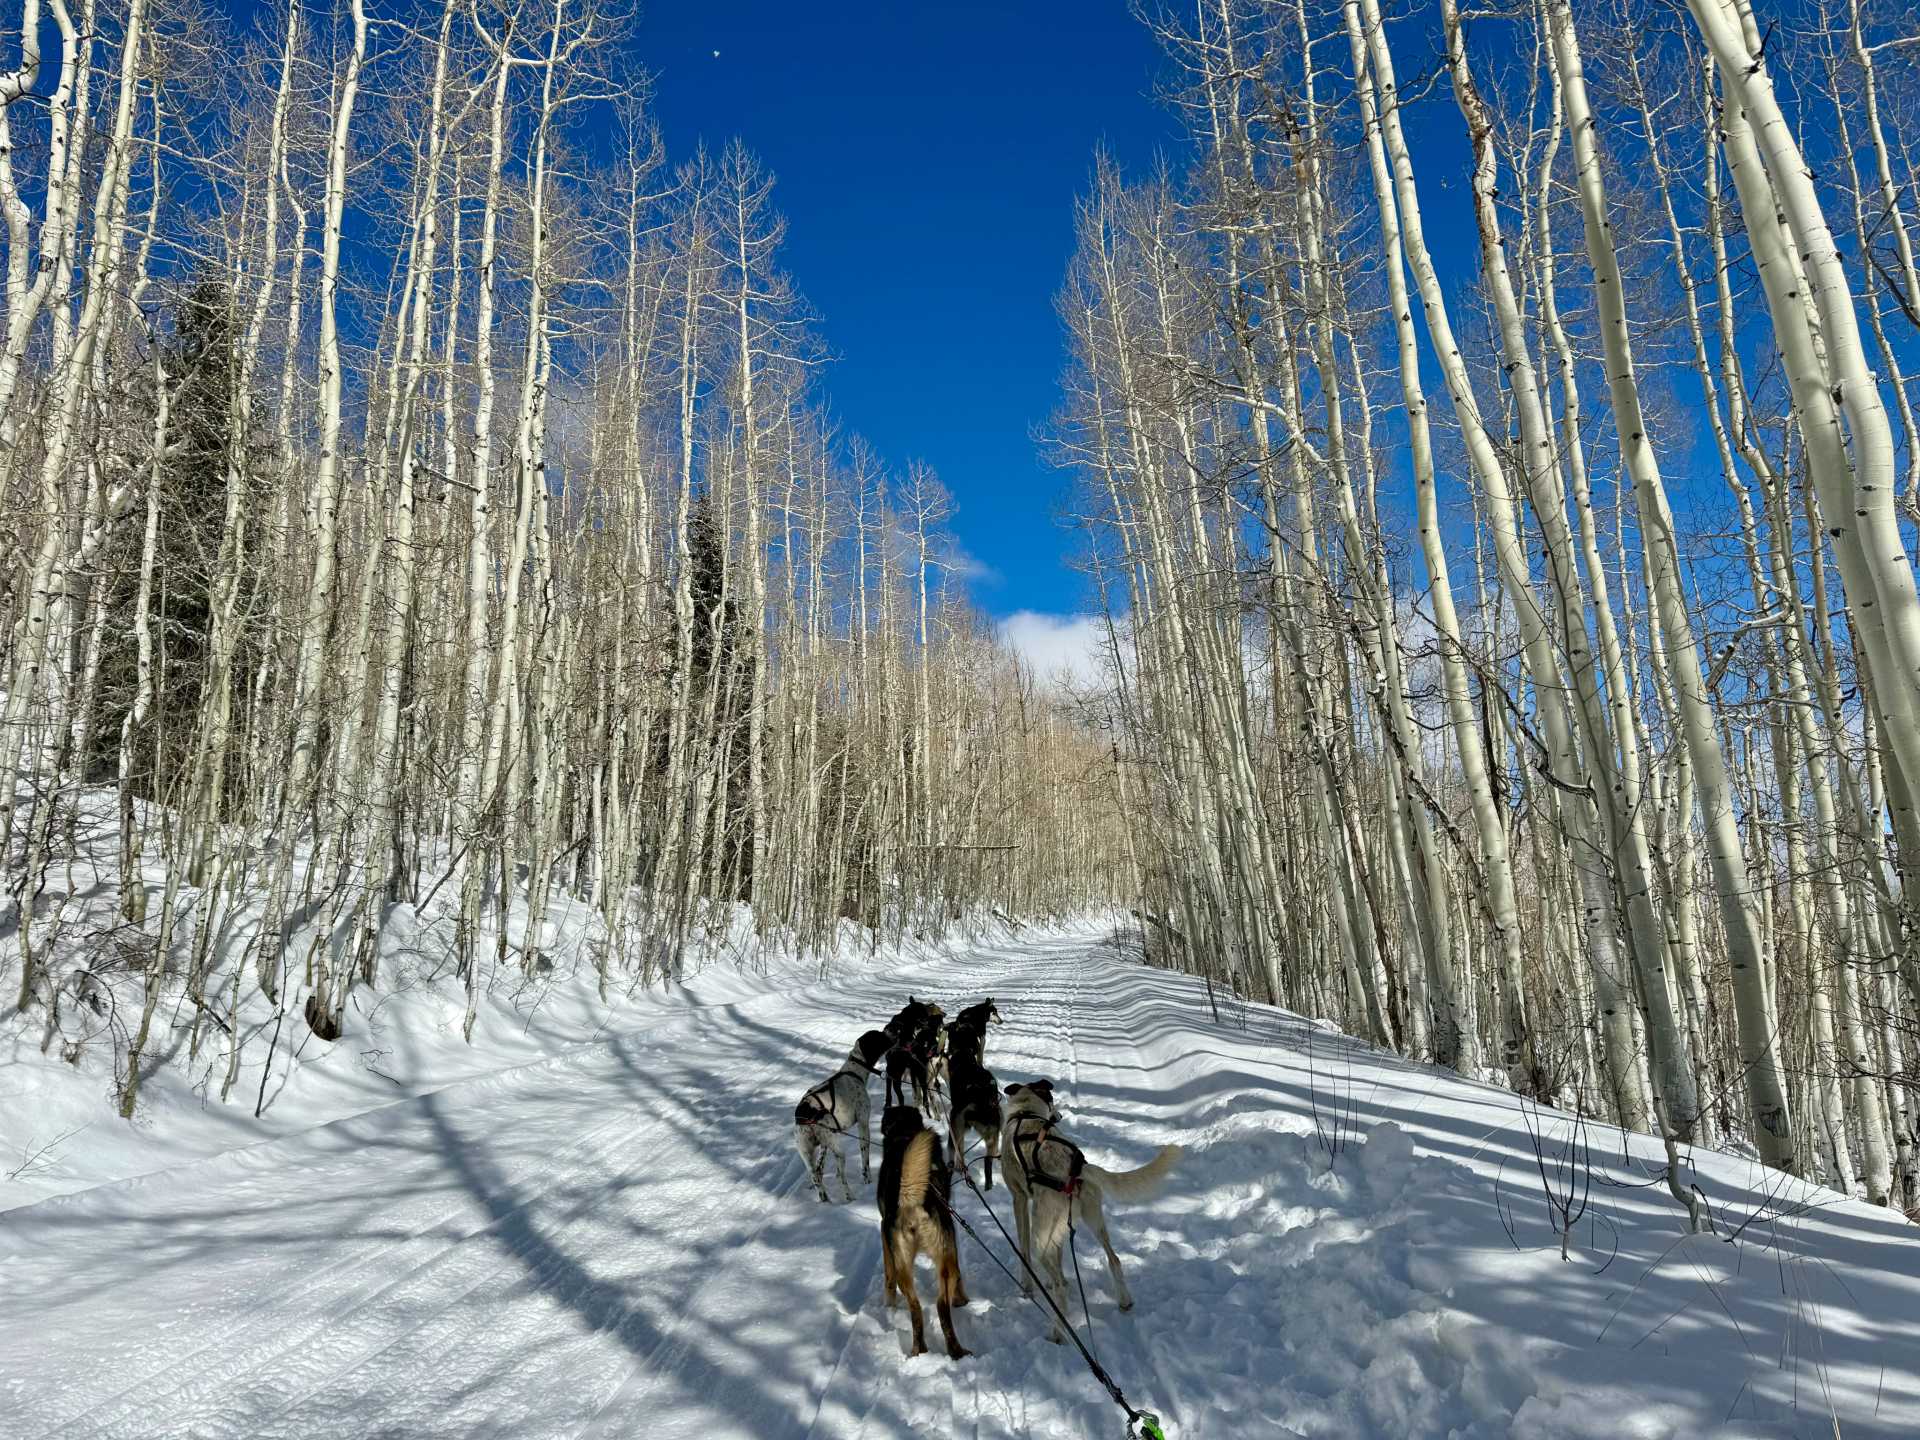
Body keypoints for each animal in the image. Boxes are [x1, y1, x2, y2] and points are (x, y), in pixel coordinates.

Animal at [791, 1036, 894, 1205]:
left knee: (816, 1177)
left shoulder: (824, 1145)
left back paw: (825, 1201)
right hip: (839, 1152)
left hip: (808, 1152)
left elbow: (820, 1167)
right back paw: (849, 1197)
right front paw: (868, 1180)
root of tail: (803, 1113)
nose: (895, 1036)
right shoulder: (863, 1125)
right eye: (880, 1036)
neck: (853, 1072)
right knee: (842, 1180)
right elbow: (865, 1160)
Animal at [883, 1105, 975, 1367]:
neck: (902, 1134)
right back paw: (951, 1350)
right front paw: (962, 1299)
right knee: (938, 1304)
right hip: (941, 1263)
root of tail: (911, 1203)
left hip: (907, 1268)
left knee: (918, 1306)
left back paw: (924, 1350)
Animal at [998, 1082, 1175, 1344]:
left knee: (1058, 1284)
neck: (1025, 1112)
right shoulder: (1059, 1231)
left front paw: (1028, 1287)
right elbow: (1060, 1257)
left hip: (1041, 1233)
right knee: (1114, 1259)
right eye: (1052, 1101)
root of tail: (1075, 1170)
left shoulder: (1019, 1200)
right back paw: (1124, 1301)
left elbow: (1024, 1251)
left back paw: (1057, 1332)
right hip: (1094, 1220)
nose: (1059, 1117)